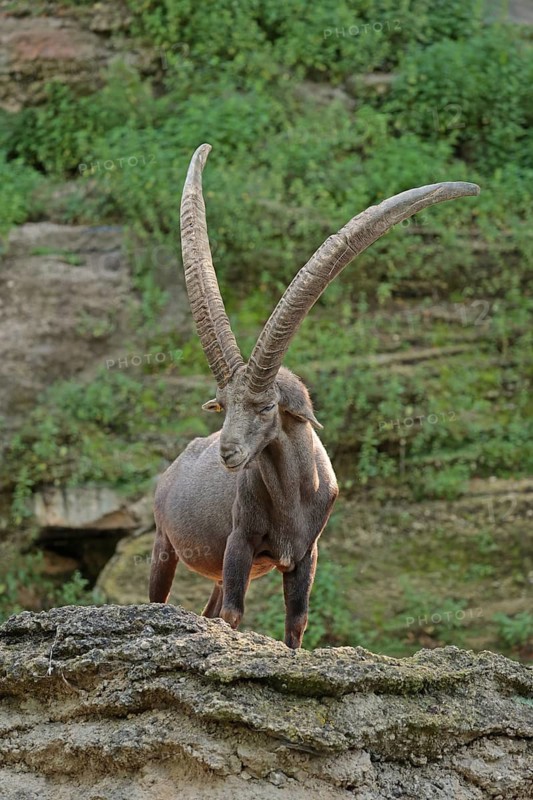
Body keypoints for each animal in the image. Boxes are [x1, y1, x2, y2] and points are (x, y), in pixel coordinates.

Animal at [149, 143, 479, 648]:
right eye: (222, 405)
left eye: (267, 406)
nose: (228, 453)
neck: (292, 497)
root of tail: (172, 469)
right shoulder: (240, 543)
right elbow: (234, 615)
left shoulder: (306, 554)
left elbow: (296, 622)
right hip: (164, 546)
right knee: (162, 599)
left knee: (206, 610)